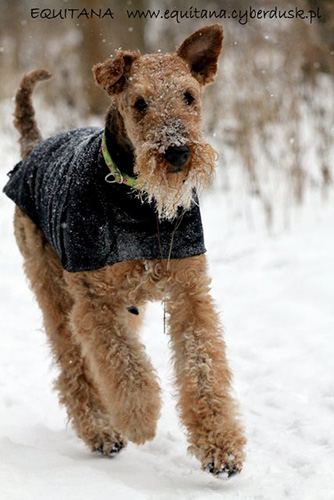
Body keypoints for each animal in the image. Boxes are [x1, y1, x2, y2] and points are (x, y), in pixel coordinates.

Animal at [3, 23, 245, 476]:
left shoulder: (189, 294)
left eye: (189, 96)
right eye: (139, 103)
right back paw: (103, 431)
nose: (177, 152)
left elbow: (201, 367)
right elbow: (125, 367)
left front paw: (221, 448)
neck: (139, 206)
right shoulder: (94, 302)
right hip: (56, 295)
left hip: (125, 306)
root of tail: (32, 147)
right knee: (73, 366)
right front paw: (139, 418)